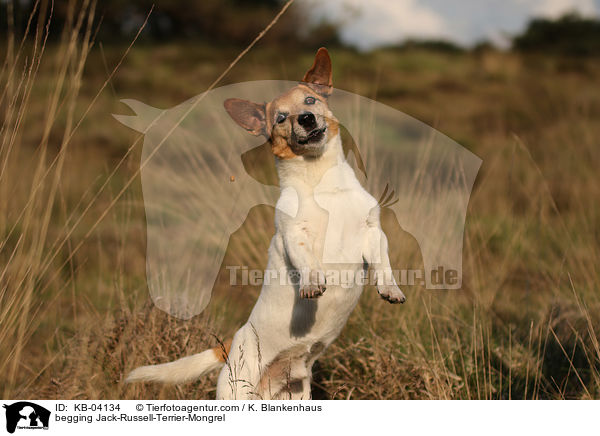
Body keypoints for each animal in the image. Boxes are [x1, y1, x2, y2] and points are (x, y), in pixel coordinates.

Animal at [127, 47, 408, 398]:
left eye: (310, 101)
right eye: (281, 118)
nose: (306, 118)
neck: (321, 180)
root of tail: (230, 345)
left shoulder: (372, 232)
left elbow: (383, 263)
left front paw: (390, 289)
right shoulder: (293, 233)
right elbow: (306, 260)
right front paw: (312, 283)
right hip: (237, 392)